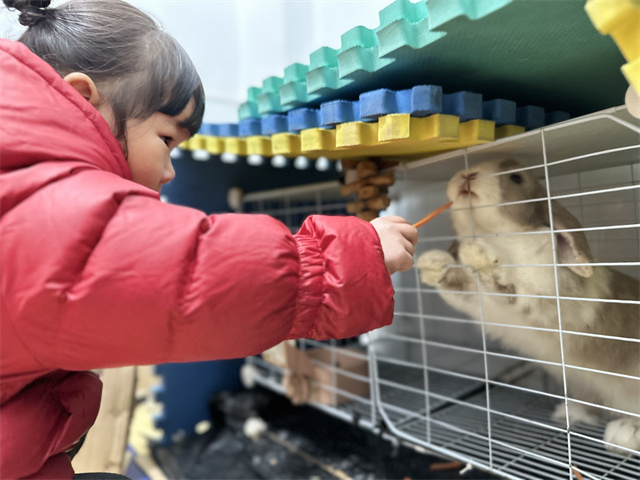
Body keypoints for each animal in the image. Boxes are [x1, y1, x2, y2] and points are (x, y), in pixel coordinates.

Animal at [416, 158, 640, 455]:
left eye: (516, 177)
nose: (467, 175)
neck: (495, 236)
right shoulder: (476, 300)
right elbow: (459, 283)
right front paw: (433, 264)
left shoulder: (544, 294)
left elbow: (505, 286)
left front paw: (480, 256)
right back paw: (569, 412)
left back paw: (624, 434)